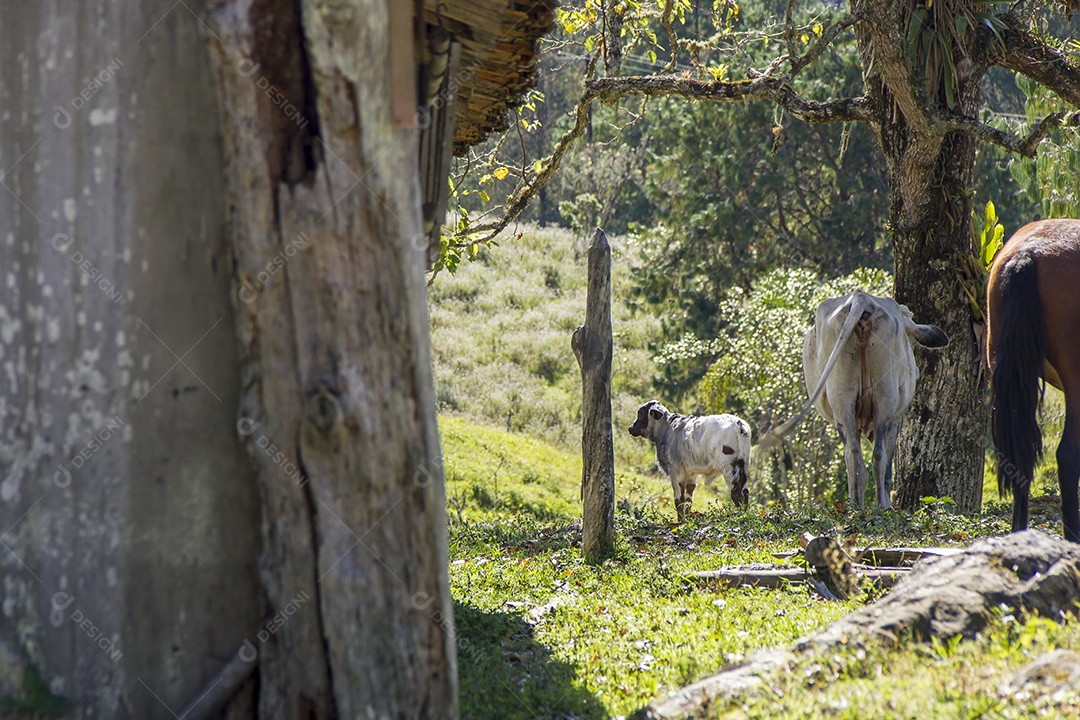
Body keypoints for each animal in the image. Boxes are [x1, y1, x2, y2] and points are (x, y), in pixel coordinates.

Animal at [756, 289, 950, 509]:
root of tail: (861, 298)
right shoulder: (896, 419)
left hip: (842, 397)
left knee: (853, 452)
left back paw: (855, 504)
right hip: (885, 396)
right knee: (878, 454)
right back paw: (883, 506)